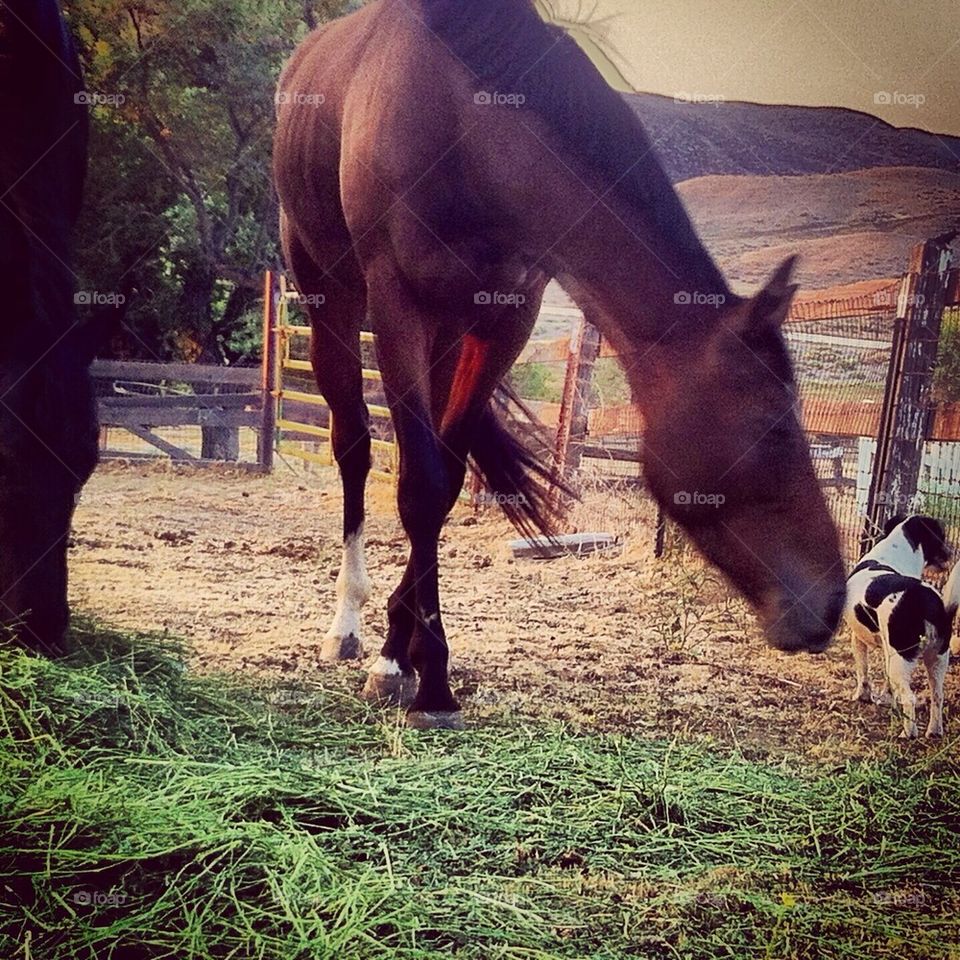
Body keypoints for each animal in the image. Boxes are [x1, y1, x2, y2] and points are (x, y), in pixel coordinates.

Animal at [274, 0, 844, 728]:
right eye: (771, 425)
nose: (832, 600)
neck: (466, 125)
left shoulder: (507, 319)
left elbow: (444, 483)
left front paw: (406, 651)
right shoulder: (396, 303)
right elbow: (418, 485)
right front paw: (426, 679)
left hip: (448, 334)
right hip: (333, 298)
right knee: (352, 447)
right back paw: (346, 625)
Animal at [844, 512, 956, 740]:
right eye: (941, 536)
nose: (950, 554)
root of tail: (923, 597)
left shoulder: (857, 638)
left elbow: (863, 671)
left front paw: (862, 696)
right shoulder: (886, 651)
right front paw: (886, 698)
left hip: (902, 659)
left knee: (910, 697)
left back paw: (908, 733)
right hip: (938, 658)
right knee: (937, 695)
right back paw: (934, 731)